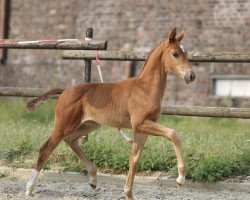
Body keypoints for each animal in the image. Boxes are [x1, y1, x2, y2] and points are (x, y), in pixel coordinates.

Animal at [26, 27, 196, 199]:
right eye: (175, 53)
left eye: (186, 53)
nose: (191, 76)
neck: (145, 89)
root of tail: (65, 91)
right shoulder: (140, 124)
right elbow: (173, 134)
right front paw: (180, 179)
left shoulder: (141, 129)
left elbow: (135, 160)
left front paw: (128, 194)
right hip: (63, 125)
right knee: (46, 149)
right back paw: (29, 188)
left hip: (91, 124)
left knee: (71, 140)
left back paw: (93, 179)